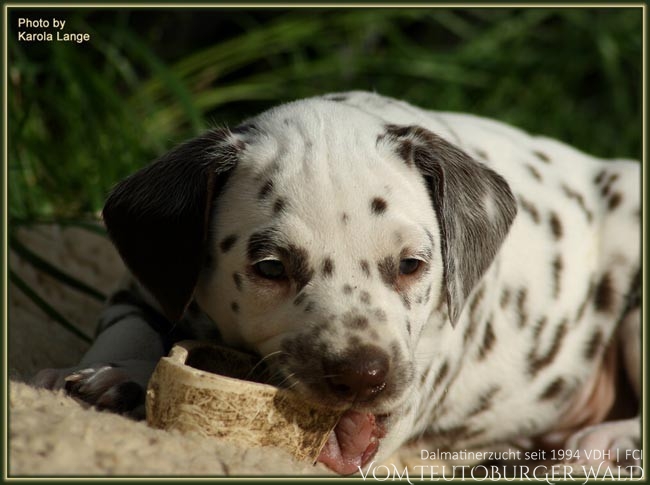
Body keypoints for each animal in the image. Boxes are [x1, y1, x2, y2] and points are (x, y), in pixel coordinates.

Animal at [33, 91, 641, 475]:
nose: (362, 375)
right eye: (271, 267)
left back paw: (609, 441)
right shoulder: (144, 283)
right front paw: (113, 374)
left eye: (412, 264)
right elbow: (127, 326)